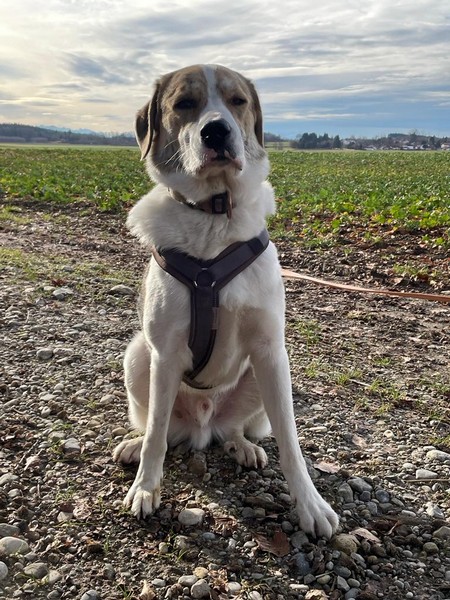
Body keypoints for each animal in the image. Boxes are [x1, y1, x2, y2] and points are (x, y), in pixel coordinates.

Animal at [113, 64, 338, 538]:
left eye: (238, 101)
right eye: (184, 104)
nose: (217, 131)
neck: (215, 213)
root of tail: (202, 426)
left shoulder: (271, 350)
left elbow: (291, 441)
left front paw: (310, 505)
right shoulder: (165, 353)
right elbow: (157, 433)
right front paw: (146, 487)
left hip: (259, 377)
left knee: (235, 429)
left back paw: (241, 446)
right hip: (139, 355)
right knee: (159, 427)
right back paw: (135, 445)